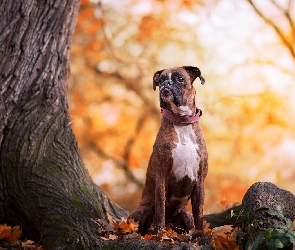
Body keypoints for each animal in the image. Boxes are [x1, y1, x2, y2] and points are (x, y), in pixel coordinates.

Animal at [129, 66, 208, 234]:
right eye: (160, 80)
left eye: (180, 79)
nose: (167, 84)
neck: (182, 122)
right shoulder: (162, 177)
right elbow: (160, 207)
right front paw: (158, 234)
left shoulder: (199, 180)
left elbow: (199, 212)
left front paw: (201, 235)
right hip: (143, 210)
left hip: (186, 216)